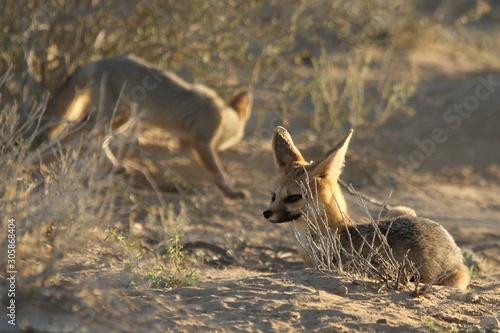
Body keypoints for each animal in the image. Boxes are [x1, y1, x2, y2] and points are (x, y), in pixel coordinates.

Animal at [33, 54, 252, 197]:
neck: (224, 115)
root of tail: (98, 60)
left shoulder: (187, 143)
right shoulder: (203, 143)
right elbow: (217, 172)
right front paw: (230, 191)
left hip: (121, 118)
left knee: (83, 134)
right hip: (107, 117)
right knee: (85, 134)